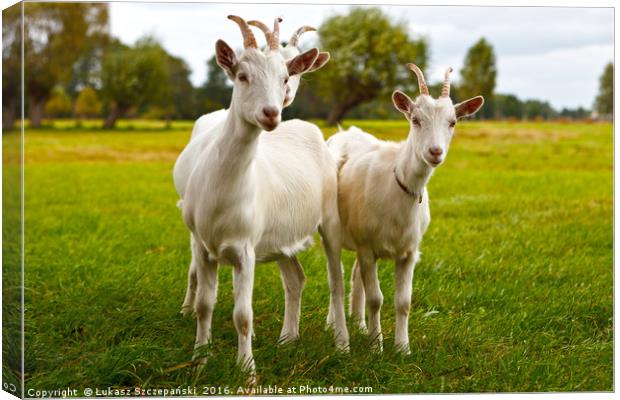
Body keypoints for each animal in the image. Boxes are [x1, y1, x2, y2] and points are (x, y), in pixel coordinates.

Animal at [182, 16, 352, 376]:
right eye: (242, 75)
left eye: (285, 77)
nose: (272, 112)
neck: (222, 192)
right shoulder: (204, 246)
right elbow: (205, 305)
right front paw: (199, 360)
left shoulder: (245, 249)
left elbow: (243, 315)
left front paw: (247, 371)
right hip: (281, 236)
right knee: (296, 278)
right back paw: (288, 338)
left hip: (331, 220)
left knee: (336, 281)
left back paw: (342, 346)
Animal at [326, 63, 482, 354]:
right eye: (415, 119)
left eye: (453, 122)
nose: (435, 152)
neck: (396, 183)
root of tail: (344, 132)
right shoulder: (368, 247)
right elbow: (376, 298)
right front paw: (376, 347)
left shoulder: (409, 251)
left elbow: (404, 301)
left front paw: (402, 348)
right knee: (338, 276)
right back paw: (334, 325)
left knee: (354, 276)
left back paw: (359, 324)